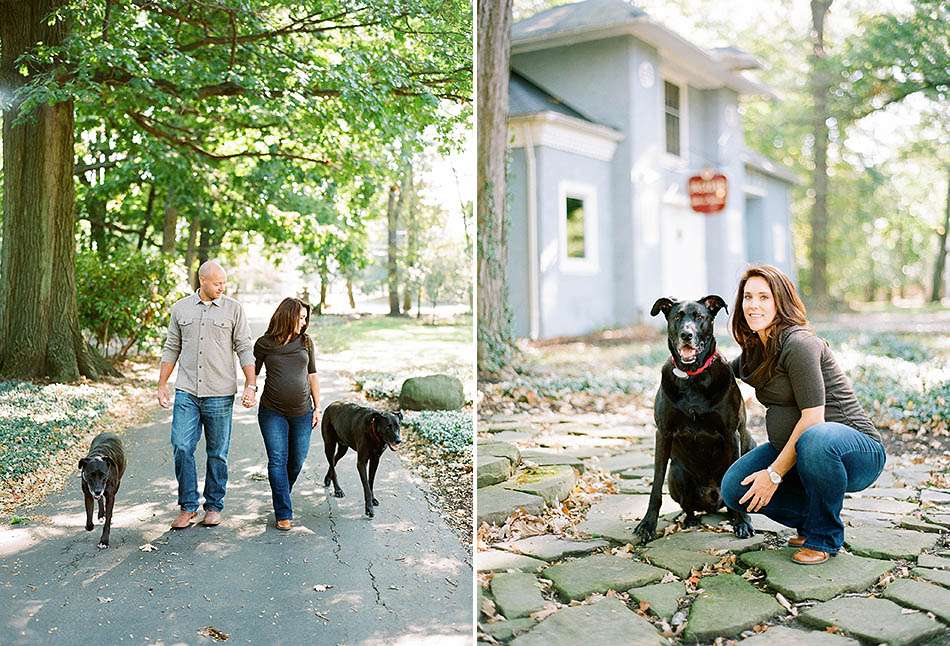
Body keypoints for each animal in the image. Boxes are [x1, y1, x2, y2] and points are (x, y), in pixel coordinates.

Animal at [632, 298, 760, 540]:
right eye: (677, 317)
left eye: (700, 317)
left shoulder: (731, 433)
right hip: (676, 473)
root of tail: (712, 500)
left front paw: (742, 522)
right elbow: (655, 486)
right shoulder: (663, 433)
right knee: (688, 506)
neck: (692, 376)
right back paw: (689, 520)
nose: (686, 334)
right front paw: (647, 524)